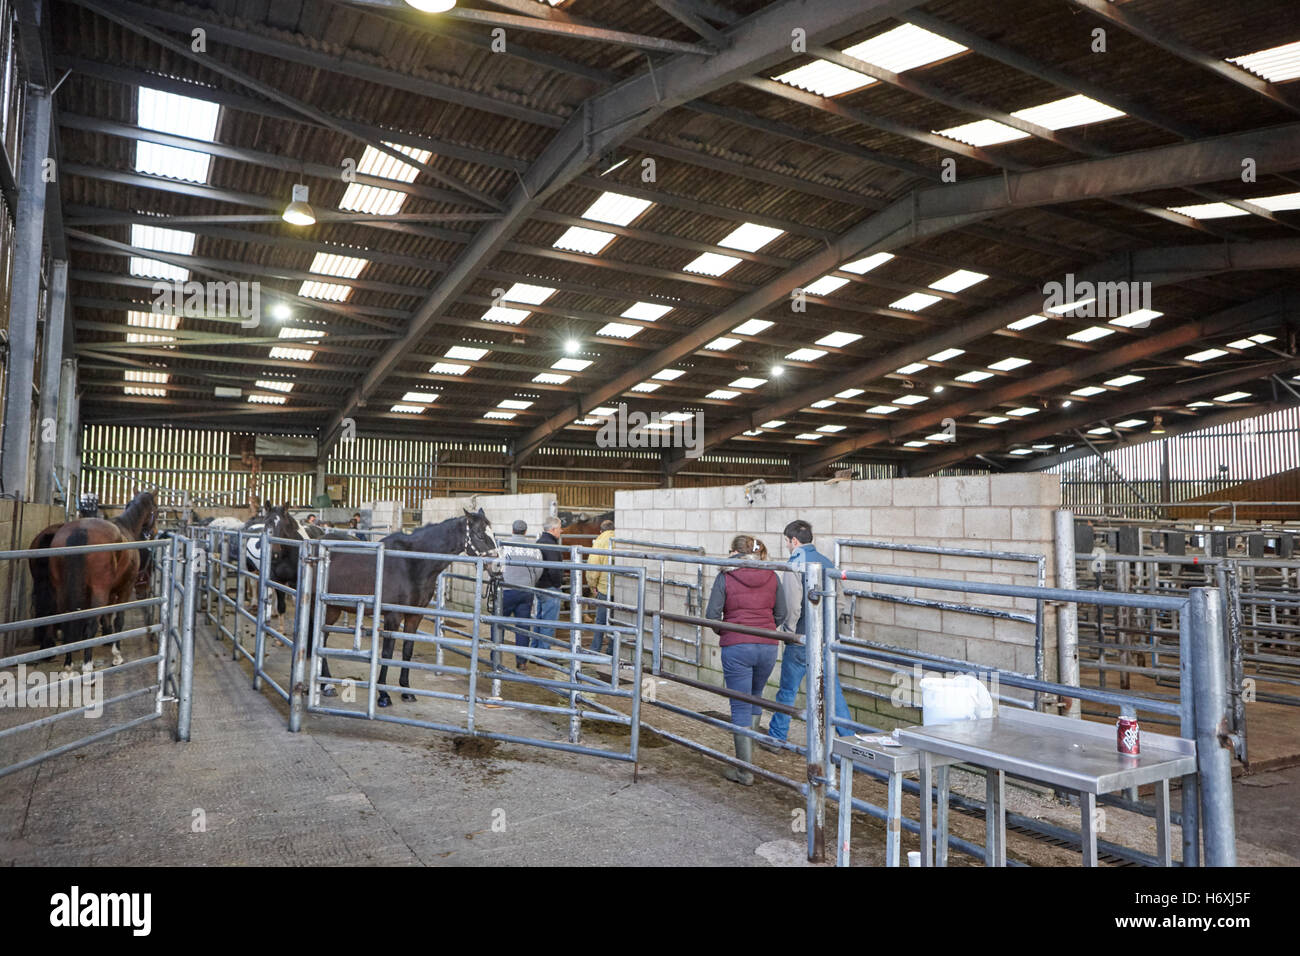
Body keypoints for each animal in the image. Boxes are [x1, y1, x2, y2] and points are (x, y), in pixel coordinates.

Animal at [46, 489, 156, 671]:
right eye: (156, 509)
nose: (153, 531)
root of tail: (81, 530)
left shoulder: (109, 593)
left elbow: (107, 616)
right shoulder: (125, 588)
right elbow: (118, 620)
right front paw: (117, 655)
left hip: (61, 590)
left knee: (67, 620)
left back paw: (68, 667)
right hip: (99, 591)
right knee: (91, 624)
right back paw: (87, 665)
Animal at [314, 512, 496, 707]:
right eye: (480, 535)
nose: (498, 567)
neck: (413, 562)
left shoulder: (414, 616)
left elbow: (408, 650)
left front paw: (406, 691)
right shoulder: (393, 616)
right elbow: (387, 653)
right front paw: (383, 694)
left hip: (332, 608)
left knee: (322, 639)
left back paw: (326, 684)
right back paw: (326, 685)